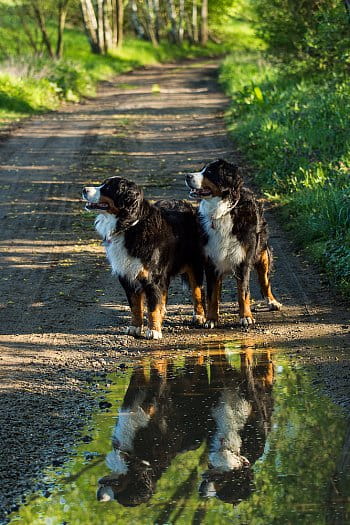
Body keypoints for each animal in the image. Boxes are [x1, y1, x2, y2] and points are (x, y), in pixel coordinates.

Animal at [82, 176, 205, 340]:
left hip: (194, 264)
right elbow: (135, 306)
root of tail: (187, 204)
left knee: (197, 292)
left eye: (107, 188)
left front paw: (154, 330)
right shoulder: (127, 276)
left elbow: (152, 307)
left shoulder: (152, 277)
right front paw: (135, 327)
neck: (130, 226)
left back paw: (199, 316)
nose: (84, 189)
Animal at [186, 159, 282, 328]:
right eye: (202, 169)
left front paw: (246, 317)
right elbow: (212, 294)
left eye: (209, 172)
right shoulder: (211, 262)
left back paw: (272, 301)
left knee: (265, 280)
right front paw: (211, 318)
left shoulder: (243, 261)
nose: (187, 176)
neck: (222, 212)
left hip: (263, 253)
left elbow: (243, 292)